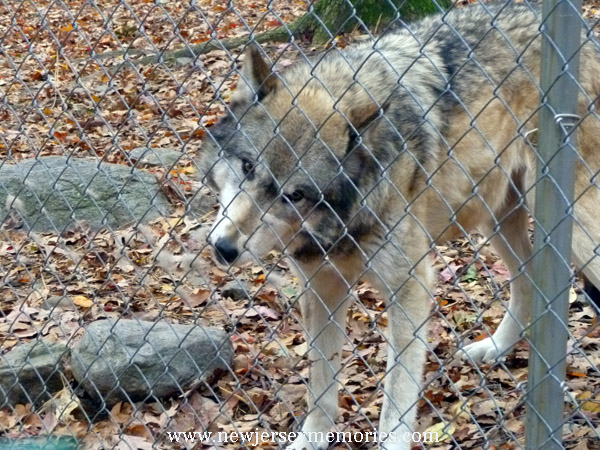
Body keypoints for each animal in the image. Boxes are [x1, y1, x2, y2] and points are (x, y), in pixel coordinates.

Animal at [198, 1, 600, 448]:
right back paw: (495, 348)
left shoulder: (410, 287)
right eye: (247, 166)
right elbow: (320, 387)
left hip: (575, 227)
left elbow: (396, 400)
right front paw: (311, 439)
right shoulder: (320, 286)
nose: (224, 249)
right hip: (496, 219)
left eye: (295, 194)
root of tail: (584, 33)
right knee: (530, 278)